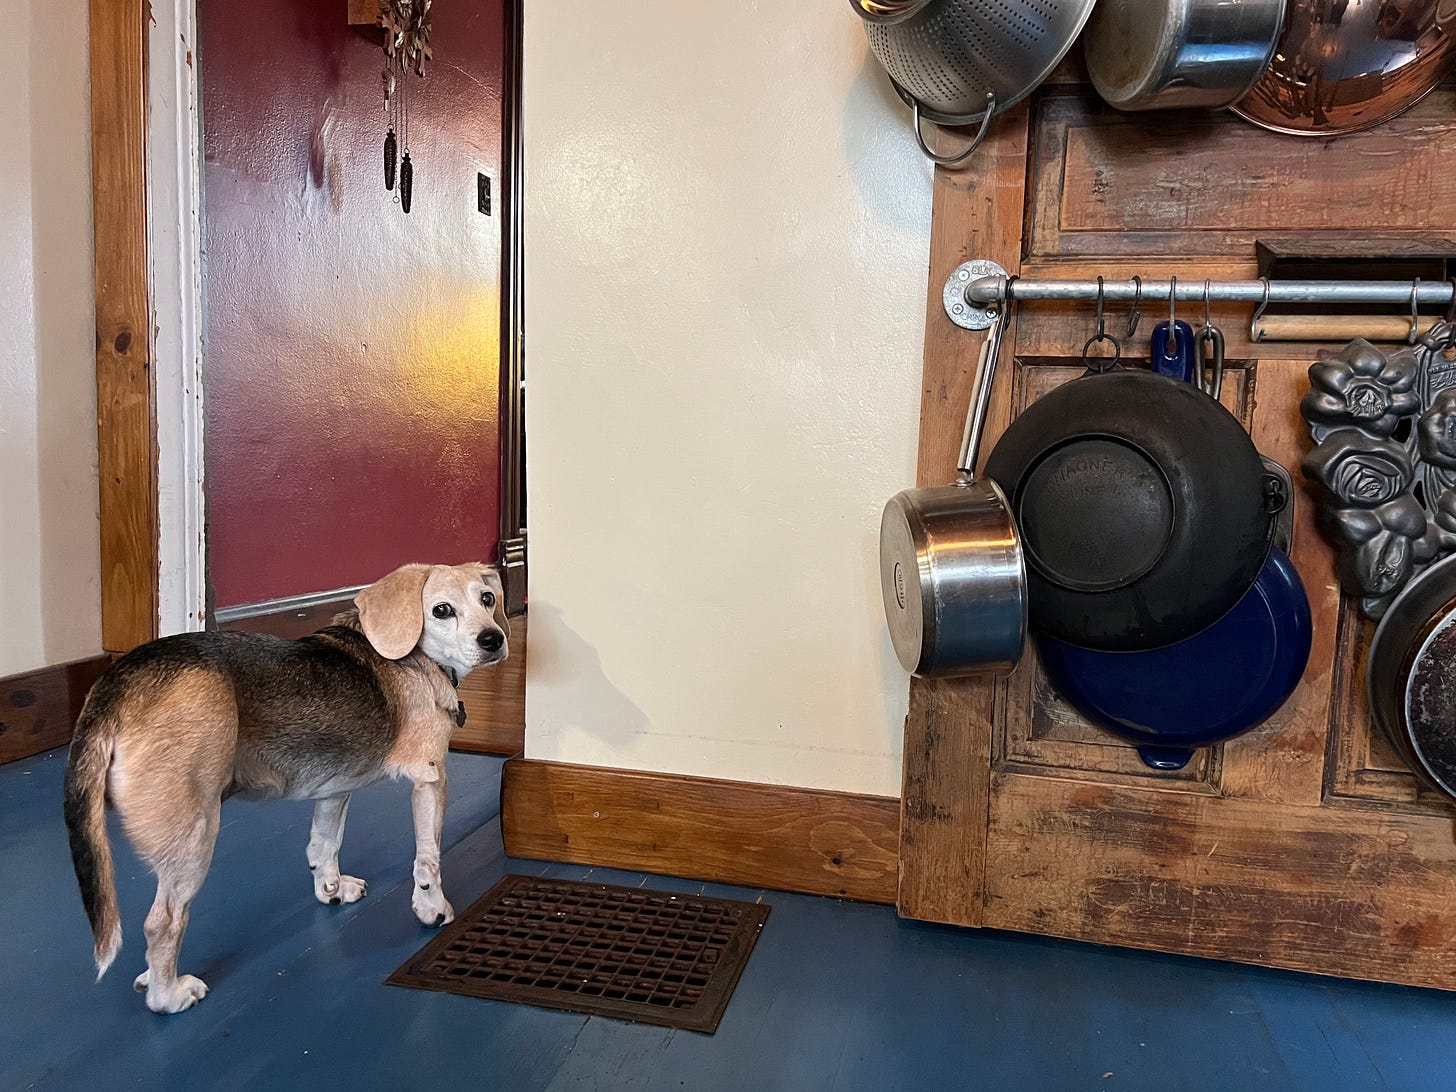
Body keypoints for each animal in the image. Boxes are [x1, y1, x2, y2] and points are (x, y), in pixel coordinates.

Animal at [65, 564, 515, 1019]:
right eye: (441, 610)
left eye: (487, 599)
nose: (493, 639)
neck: (419, 656)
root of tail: (122, 682)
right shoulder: (430, 779)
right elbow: (428, 862)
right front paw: (432, 911)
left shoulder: (335, 787)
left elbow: (324, 845)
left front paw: (330, 889)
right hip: (196, 834)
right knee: (163, 923)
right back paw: (169, 994)